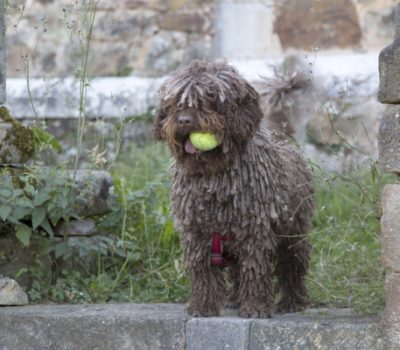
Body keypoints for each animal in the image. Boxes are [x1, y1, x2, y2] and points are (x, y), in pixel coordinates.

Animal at [155, 60, 314, 318]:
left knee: (291, 265)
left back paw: (292, 302)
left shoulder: (254, 230)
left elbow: (255, 269)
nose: (184, 120)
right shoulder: (196, 232)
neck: (212, 177)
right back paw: (237, 300)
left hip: (293, 231)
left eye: (210, 98)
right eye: (177, 102)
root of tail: (283, 139)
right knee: (239, 270)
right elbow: (203, 272)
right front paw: (202, 306)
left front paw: (256, 307)